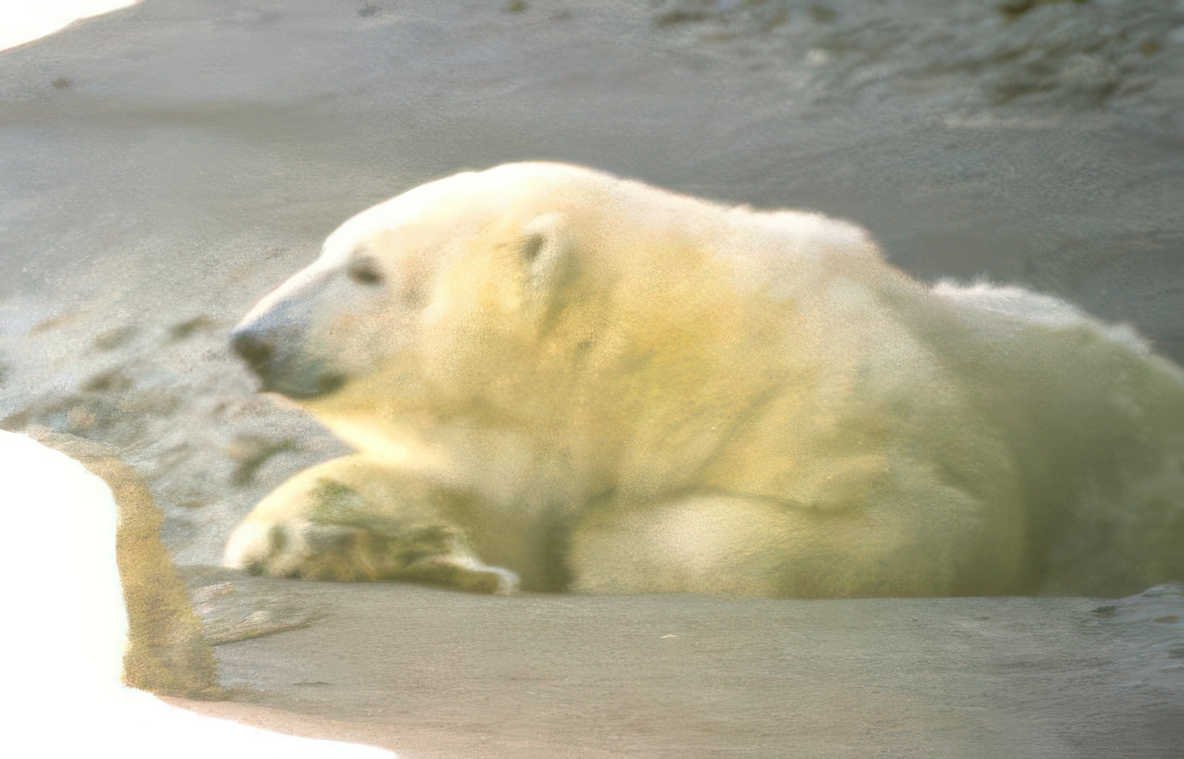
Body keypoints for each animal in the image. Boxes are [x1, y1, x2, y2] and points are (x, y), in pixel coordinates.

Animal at [224, 162, 1184, 598]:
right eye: (327, 251)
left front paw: (608, 545)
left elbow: (916, 524)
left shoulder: (833, 404)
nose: (249, 340)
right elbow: (492, 505)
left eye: (367, 271)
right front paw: (290, 531)